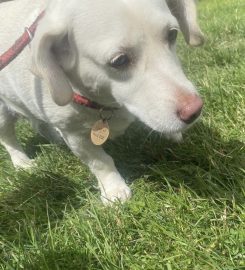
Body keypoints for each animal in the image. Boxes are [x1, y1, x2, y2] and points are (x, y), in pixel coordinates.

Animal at [0, 0, 203, 202]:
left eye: (172, 34)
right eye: (119, 60)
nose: (195, 110)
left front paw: (172, 135)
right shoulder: (75, 135)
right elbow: (100, 162)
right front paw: (114, 190)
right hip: (3, 116)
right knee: (9, 140)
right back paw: (22, 163)